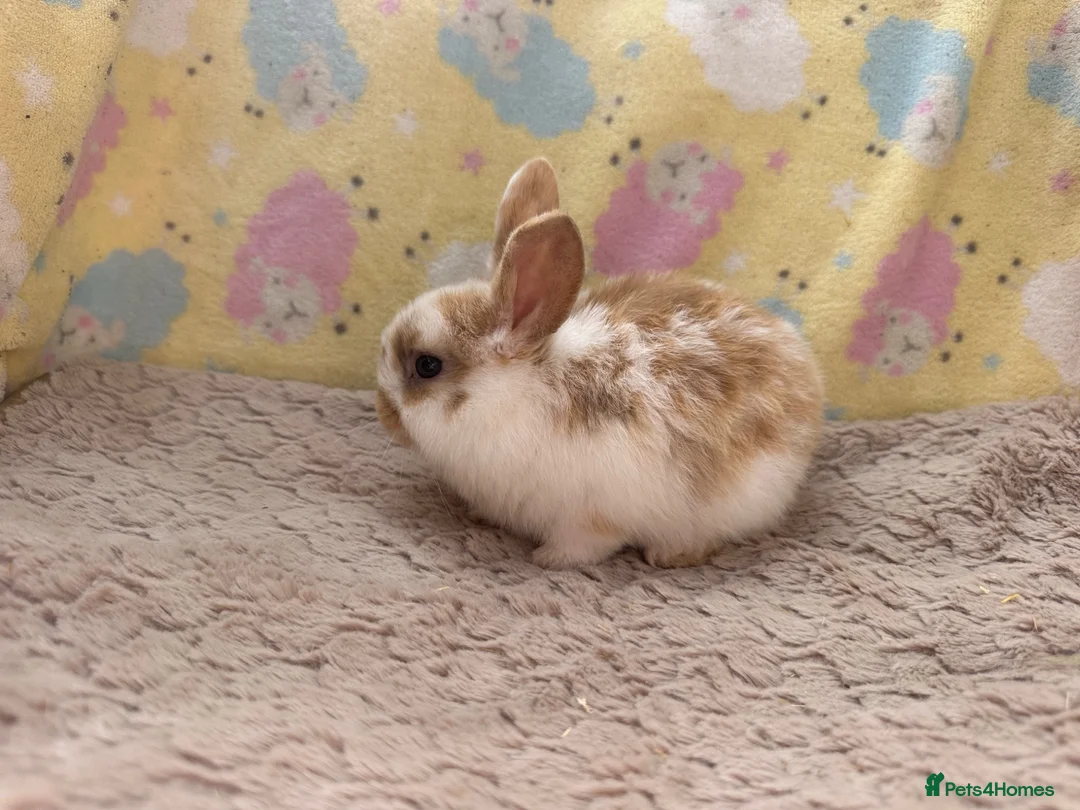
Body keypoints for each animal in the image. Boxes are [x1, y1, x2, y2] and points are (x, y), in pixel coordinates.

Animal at [375, 157, 823, 569]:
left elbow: (584, 544)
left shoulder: (591, 515)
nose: (384, 415)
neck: (515, 395)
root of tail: (803, 365)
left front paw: (547, 559)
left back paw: (671, 554)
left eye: (427, 365)